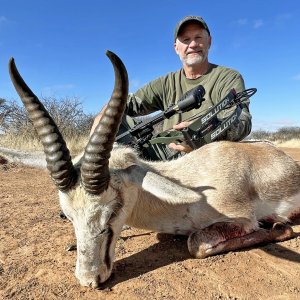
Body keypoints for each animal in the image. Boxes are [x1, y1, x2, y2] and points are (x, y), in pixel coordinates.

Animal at [8, 51, 300, 288]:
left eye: (111, 212)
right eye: (66, 215)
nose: (89, 279)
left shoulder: (242, 220)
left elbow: (195, 244)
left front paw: (278, 227)